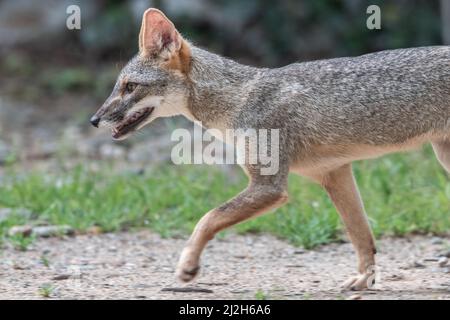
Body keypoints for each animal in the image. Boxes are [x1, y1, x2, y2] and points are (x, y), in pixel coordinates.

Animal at [90, 8, 450, 292]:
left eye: (130, 87)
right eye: (118, 86)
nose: (94, 120)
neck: (238, 100)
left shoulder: (269, 186)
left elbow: (207, 218)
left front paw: (188, 265)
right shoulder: (334, 174)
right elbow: (361, 235)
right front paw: (364, 280)